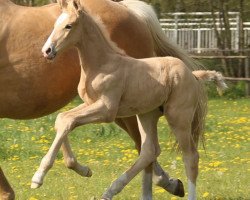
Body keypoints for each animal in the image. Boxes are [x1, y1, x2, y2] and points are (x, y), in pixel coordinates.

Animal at [0, 0, 201, 198]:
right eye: (54, 24)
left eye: (68, 26)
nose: (47, 50)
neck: (103, 63)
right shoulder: (91, 104)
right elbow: (63, 119)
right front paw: (80, 168)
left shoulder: (106, 109)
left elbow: (66, 121)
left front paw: (38, 177)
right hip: (142, 113)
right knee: (149, 150)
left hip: (165, 117)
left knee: (181, 154)